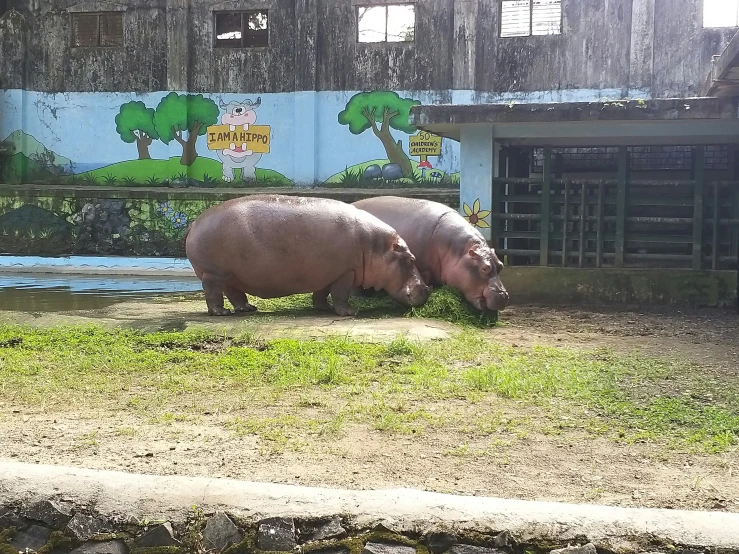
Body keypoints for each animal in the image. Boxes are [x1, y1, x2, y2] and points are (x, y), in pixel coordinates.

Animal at [183, 193, 430, 314]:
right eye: (410, 259)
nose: (427, 289)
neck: (375, 246)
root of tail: (195, 223)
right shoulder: (345, 273)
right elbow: (340, 294)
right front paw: (350, 312)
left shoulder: (327, 274)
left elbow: (321, 293)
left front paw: (323, 308)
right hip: (214, 274)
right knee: (213, 294)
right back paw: (221, 313)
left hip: (230, 275)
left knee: (234, 293)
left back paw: (247, 309)